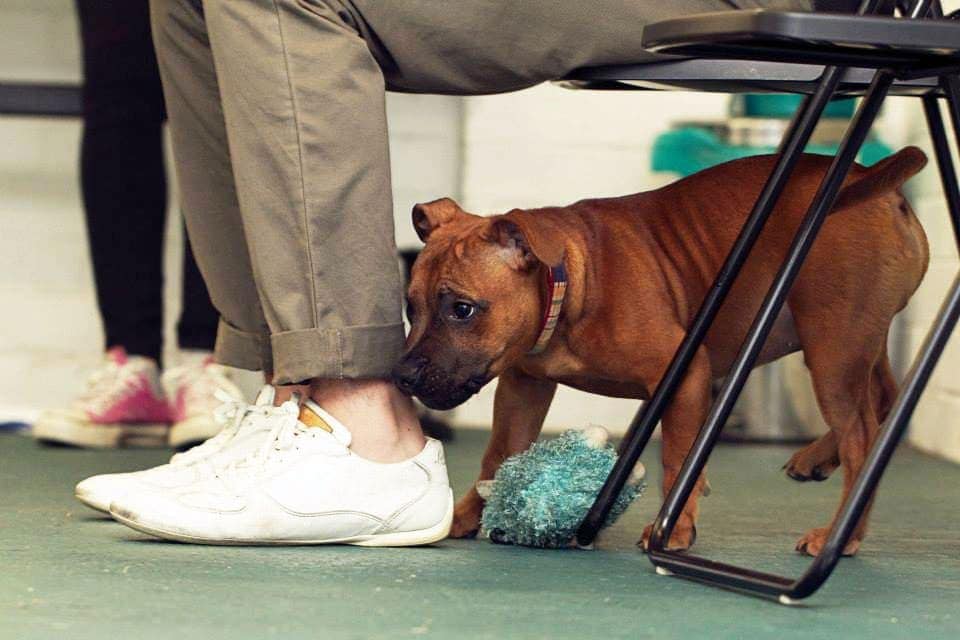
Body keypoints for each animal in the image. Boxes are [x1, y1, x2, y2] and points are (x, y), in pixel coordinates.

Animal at [394, 146, 928, 556]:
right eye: (410, 307)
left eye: (462, 309)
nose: (401, 375)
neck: (572, 282)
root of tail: (872, 183)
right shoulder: (524, 384)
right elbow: (500, 452)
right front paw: (468, 512)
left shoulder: (683, 372)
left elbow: (677, 454)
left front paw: (678, 525)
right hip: (857, 345)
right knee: (882, 404)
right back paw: (817, 460)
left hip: (833, 349)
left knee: (862, 437)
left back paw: (842, 535)